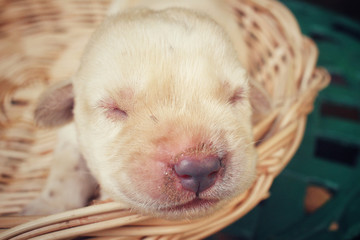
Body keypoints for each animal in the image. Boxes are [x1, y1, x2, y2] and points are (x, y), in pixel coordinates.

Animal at [23, 0, 262, 219]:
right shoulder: (70, 135)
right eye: (114, 108)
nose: (199, 167)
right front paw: (43, 210)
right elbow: (66, 166)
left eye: (236, 96)